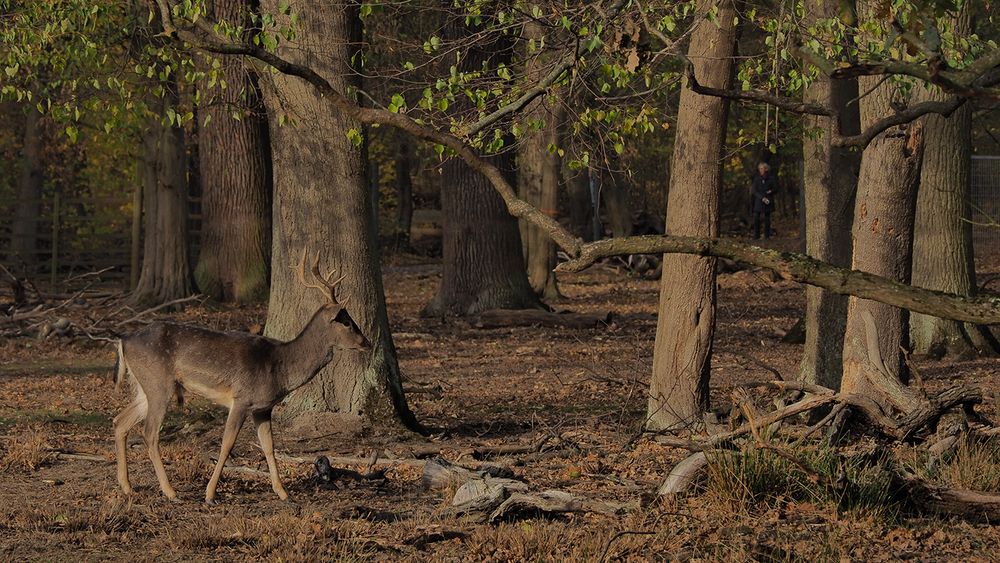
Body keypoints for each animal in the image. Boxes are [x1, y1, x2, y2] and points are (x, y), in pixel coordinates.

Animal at [113, 253, 370, 504]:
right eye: (347, 322)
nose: (366, 342)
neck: (280, 368)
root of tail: (124, 340)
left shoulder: (263, 408)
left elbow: (269, 447)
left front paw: (283, 493)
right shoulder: (242, 398)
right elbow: (227, 444)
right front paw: (210, 494)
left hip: (144, 386)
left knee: (120, 421)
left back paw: (127, 487)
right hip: (159, 384)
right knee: (150, 432)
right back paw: (170, 492)